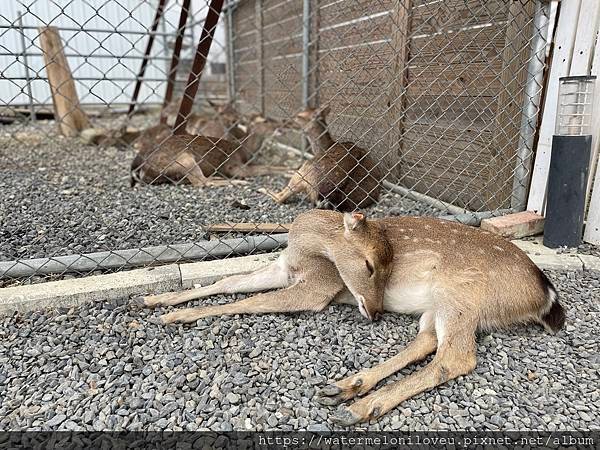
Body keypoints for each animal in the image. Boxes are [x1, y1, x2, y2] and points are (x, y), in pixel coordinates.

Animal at [135, 210, 564, 426]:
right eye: (371, 265)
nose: (375, 312)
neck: (302, 251)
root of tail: (544, 294)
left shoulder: (318, 287)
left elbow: (248, 302)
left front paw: (176, 315)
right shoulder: (282, 268)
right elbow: (227, 281)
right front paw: (156, 298)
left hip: (461, 294)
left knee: (456, 357)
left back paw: (360, 408)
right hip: (440, 307)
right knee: (428, 342)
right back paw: (346, 387)